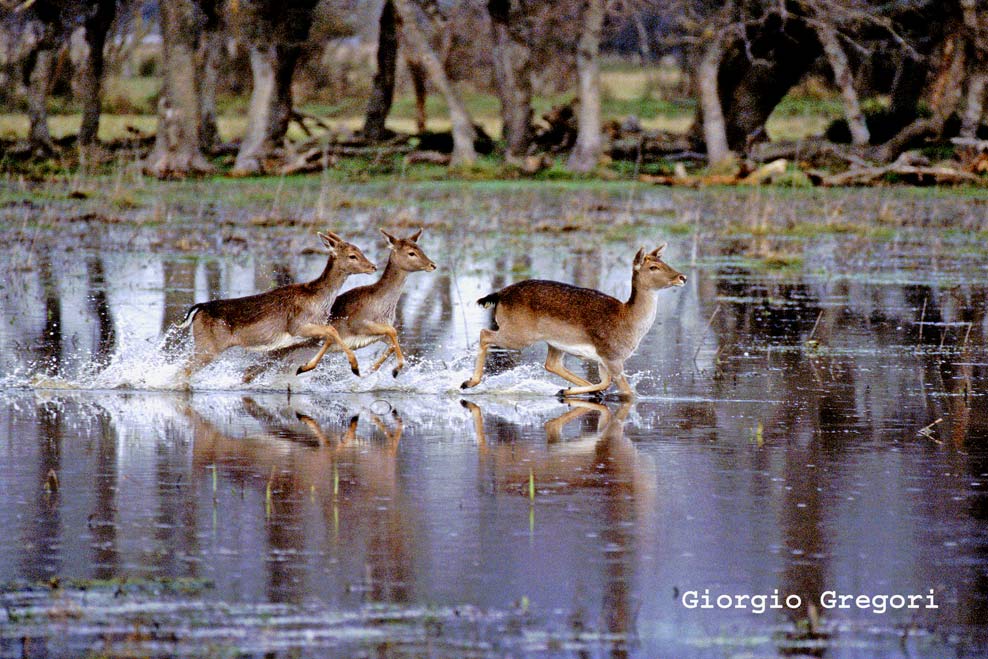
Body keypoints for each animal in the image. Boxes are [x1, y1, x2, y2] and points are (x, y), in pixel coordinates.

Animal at [178, 231, 378, 378]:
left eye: (360, 250)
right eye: (352, 256)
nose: (373, 267)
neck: (319, 301)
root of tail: (199, 308)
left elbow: (330, 334)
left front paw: (304, 367)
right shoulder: (296, 326)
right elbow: (332, 330)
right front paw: (355, 367)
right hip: (207, 347)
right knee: (182, 372)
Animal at [243, 227, 436, 382]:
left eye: (420, 248)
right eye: (411, 252)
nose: (432, 265)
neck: (382, 303)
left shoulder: (377, 334)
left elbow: (391, 341)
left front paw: (371, 371)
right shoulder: (360, 325)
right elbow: (393, 331)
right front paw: (392, 370)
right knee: (251, 371)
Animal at [458, 241, 684, 398]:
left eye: (664, 261)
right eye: (653, 267)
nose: (682, 277)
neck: (628, 321)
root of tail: (499, 294)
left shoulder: (603, 360)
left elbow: (606, 383)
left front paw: (569, 391)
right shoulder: (613, 357)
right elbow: (628, 392)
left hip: (554, 343)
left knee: (551, 364)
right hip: (518, 334)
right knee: (484, 334)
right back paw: (467, 382)